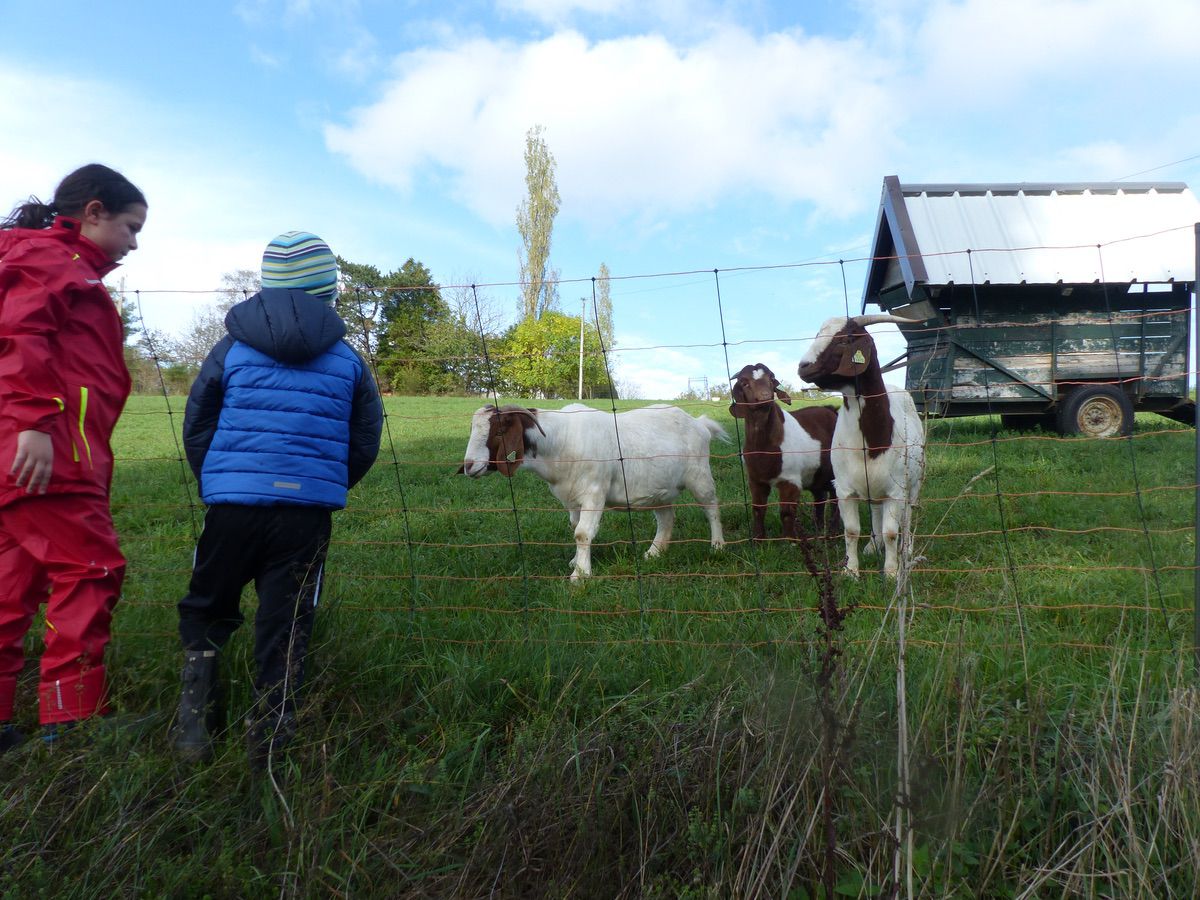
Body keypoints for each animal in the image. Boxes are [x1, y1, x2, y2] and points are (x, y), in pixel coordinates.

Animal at [458, 405, 724, 580]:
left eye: (499, 431)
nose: (469, 466)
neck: (560, 441)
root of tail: (700, 423)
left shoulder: (594, 492)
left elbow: (583, 533)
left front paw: (580, 575)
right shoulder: (572, 499)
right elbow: (575, 528)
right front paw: (576, 562)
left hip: (700, 475)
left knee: (712, 508)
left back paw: (717, 546)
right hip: (659, 490)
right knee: (666, 519)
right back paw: (653, 553)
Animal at [724, 364, 840, 542]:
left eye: (771, 380)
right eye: (744, 383)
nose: (764, 397)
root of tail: (831, 411)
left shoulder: (790, 479)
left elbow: (786, 512)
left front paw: (791, 541)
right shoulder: (755, 479)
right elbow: (758, 509)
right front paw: (759, 540)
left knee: (837, 497)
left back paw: (834, 531)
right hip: (817, 472)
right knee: (820, 496)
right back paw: (819, 528)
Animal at [796, 314, 926, 578]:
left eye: (845, 339)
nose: (803, 366)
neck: (871, 442)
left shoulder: (896, 490)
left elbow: (891, 532)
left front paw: (891, 571)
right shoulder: (845, 489)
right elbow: (852, 530)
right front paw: (851, 570)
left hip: (914, 482)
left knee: (909, 513)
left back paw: (906, 549)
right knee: (875, 511)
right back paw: (872, 546)